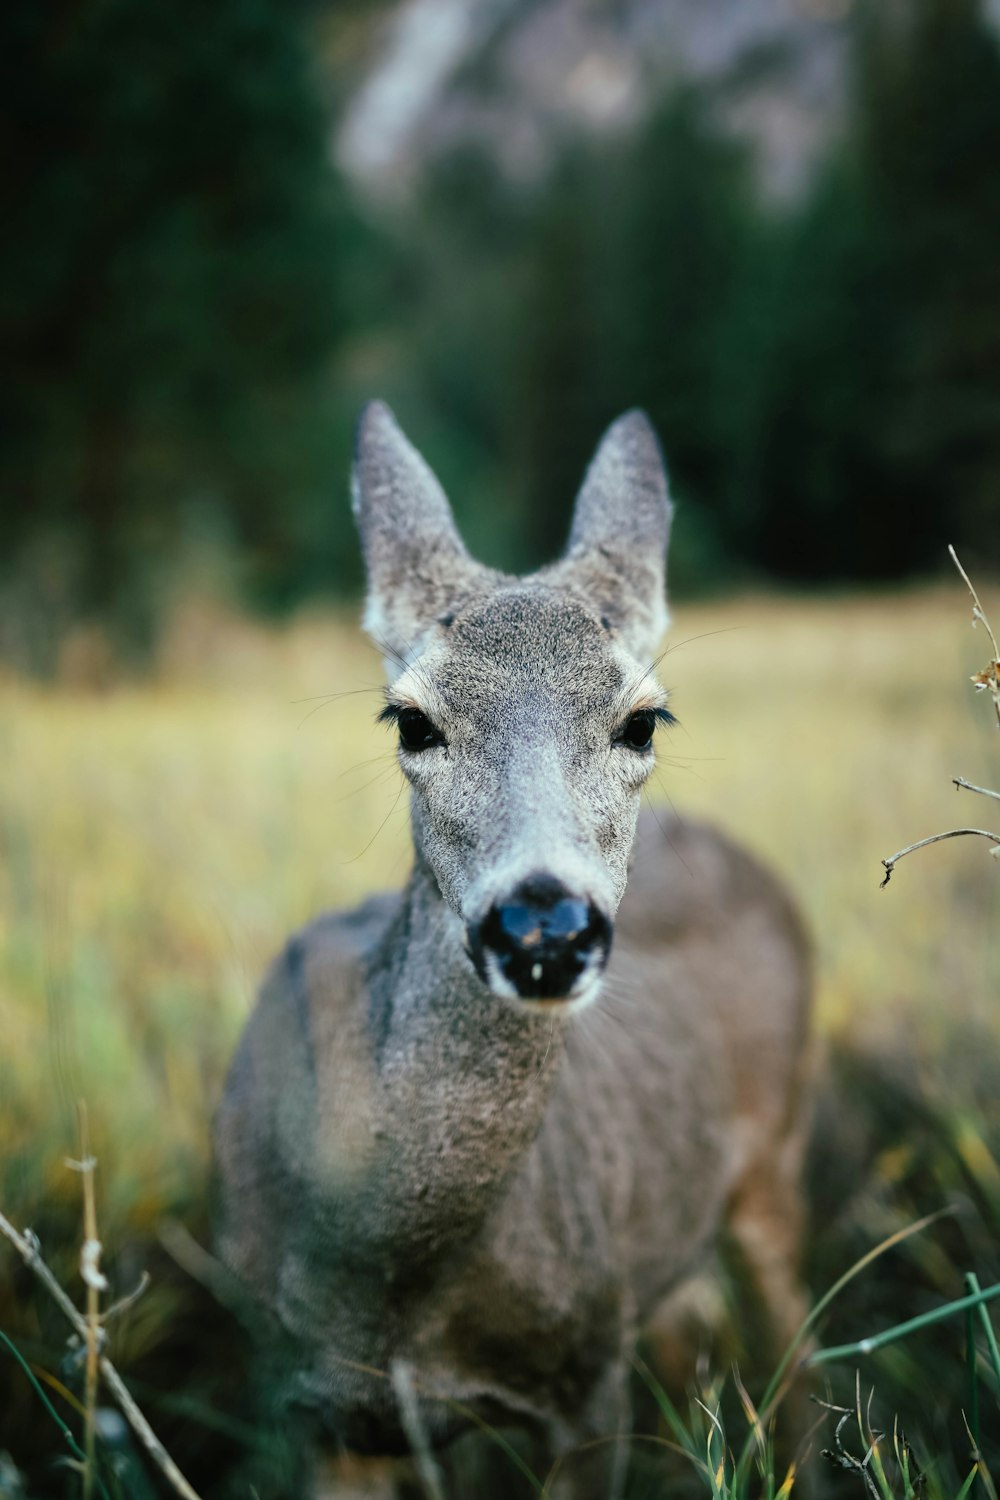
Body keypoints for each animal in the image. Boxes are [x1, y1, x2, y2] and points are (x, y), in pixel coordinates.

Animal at [215, 402, 815, 1500]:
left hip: (778, 1151)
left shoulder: (586, 1379)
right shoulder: (310, 1409)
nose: (544, 924)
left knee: (797, 1355)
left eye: (643, 719)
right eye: (410, 719)